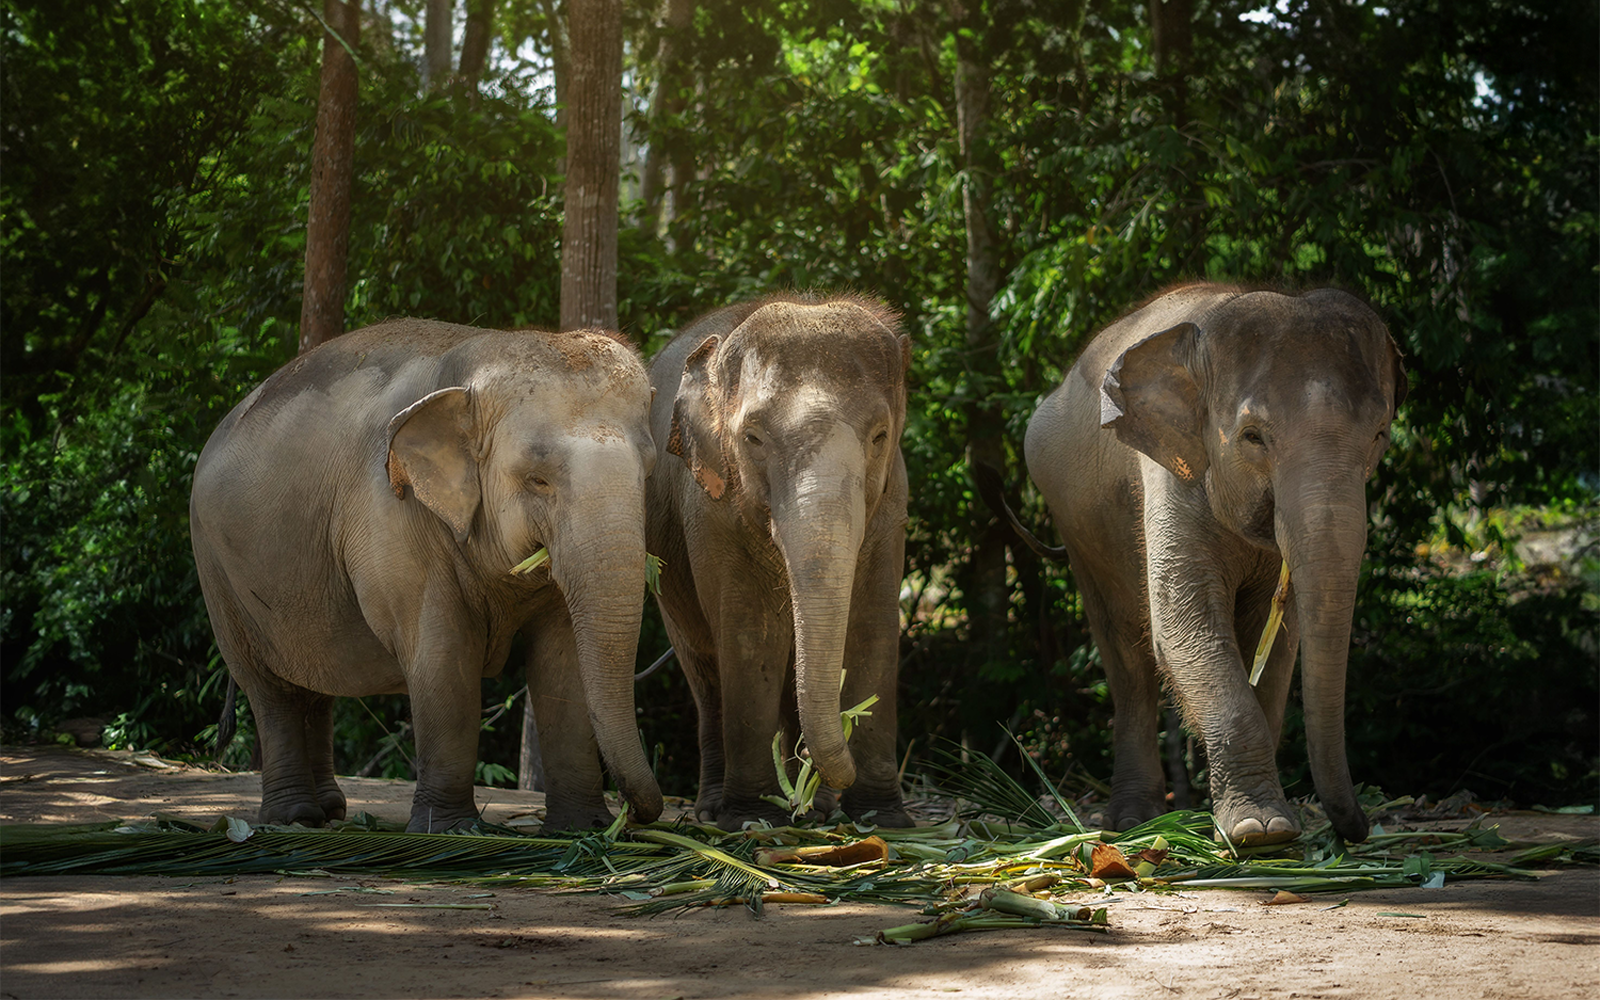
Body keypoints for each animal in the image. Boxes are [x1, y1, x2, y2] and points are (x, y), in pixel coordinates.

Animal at [190, 318, 664, 833]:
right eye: (537, 479)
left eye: (648, 472)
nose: (636, 816)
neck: (469, 364)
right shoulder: (390, 513)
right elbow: (443, 656)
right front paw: (451, 828)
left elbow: (563, 662)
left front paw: (583, 828)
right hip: (218, 573)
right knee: (270, 691)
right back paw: (293, 817)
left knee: (315, 686)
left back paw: (330, 811)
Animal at [646, 294, 914, 830]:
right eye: (752, 438)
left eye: (879, 435)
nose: (818, 764)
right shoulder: (711, 512)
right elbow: (749, 637)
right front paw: (751, 817)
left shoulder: (893, 504)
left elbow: (872, 629)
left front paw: (883, 820)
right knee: (706, 673)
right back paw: (719, 808)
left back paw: (816, 809)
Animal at [1020, 284, 1406, 845]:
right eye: (1252, 436)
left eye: (1379, 434)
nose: (1359, 828)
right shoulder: (1169, 471)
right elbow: (1185, 626)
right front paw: (1260, 831)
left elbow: (1279, 644)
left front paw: (1260, 824)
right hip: (1076, 524)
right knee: (1125, 654)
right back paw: (1134, 822)